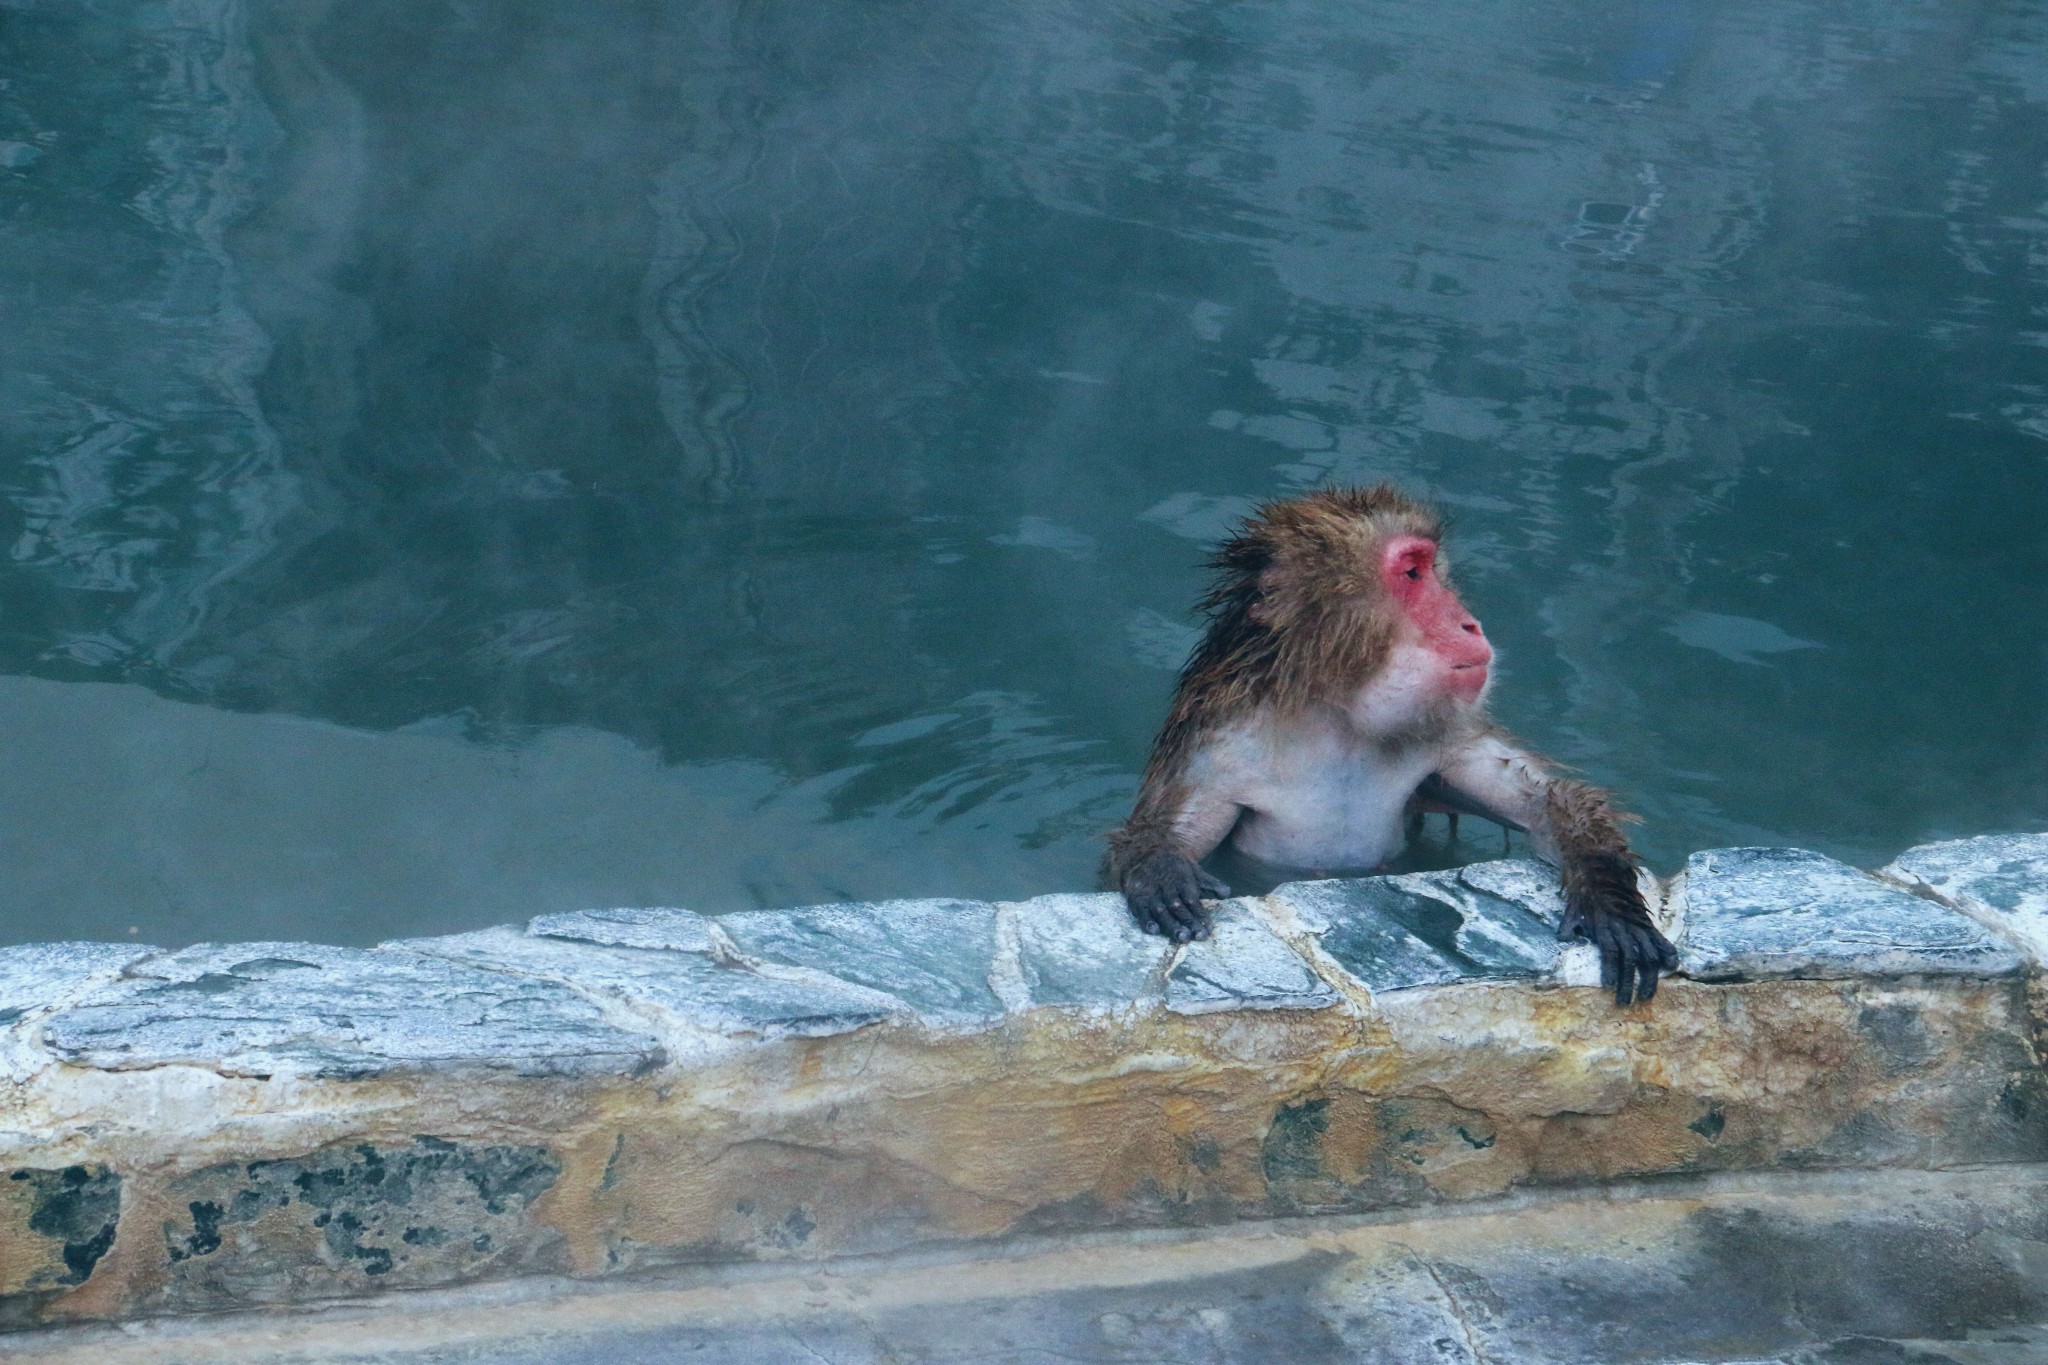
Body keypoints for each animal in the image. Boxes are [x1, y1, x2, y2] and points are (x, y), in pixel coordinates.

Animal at [1105, 485, 1679, 1010]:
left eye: (1431, 569)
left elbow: (1545, 800)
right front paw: (1158, 865)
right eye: (1411, 574)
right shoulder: (1219, 751)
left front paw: (1611, 897)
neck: (1335, 719)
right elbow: (1168, 832)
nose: (1470, 623)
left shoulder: (1444, 733)